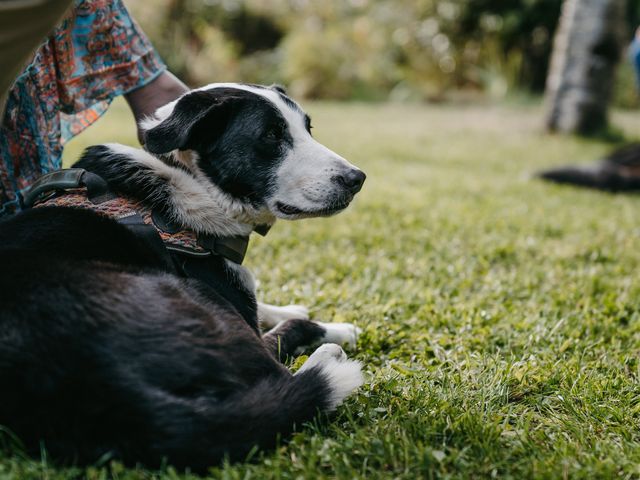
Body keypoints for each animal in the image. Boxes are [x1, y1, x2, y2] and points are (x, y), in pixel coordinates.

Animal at [0, 83, 368, 468]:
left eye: (308, 129)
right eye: (271, 135)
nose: (357, 179)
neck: (187, 180)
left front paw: (288, 307)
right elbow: (287, 323)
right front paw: (339, 328)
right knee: (283, 375)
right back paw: (331, 354)